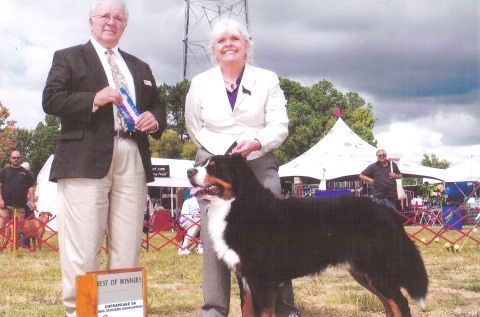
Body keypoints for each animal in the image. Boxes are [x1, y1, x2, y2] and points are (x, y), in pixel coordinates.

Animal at [187, 154, 428, 316]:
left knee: (400, 303)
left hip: (376, 269)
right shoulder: (244, 276)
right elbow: (247, 310)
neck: (236, 205)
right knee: (390, 304)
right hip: (363, 272)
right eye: (203, 164)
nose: (189, 171)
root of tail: (385, 209)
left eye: (215, 167)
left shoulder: (261, 278)